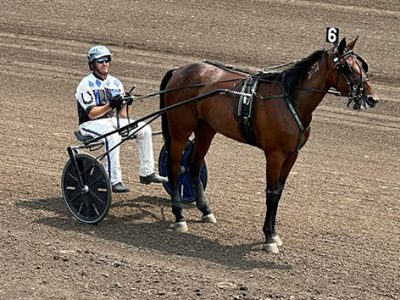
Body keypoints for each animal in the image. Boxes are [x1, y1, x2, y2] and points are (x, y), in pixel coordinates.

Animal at [159, 37, 378, 253]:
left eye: (362, 66)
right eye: (347, 67)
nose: (372, 99)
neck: (290, 100)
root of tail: (179, 70)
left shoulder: (292, 155)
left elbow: (278, 193)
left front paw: (273, 233)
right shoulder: (274, 155)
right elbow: (271, 194)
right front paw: (269, 237)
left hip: (206, 129)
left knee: (194, 166)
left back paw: (205, 210)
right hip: (180, 130)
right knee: (175, 167)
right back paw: (179, 216)